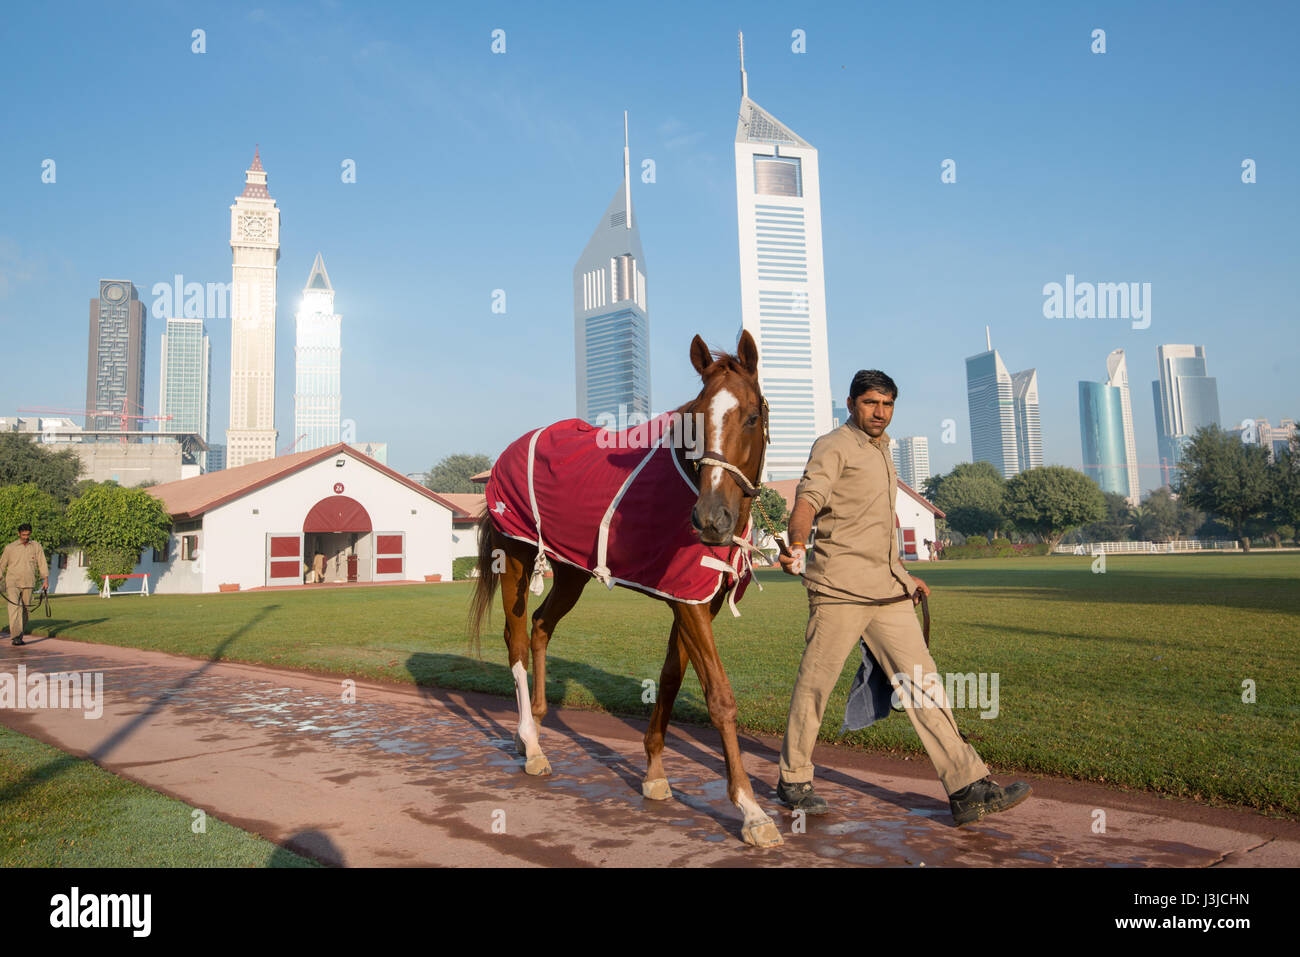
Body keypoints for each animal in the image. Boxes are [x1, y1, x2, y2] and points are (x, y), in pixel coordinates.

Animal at [467, 332, 780, 847]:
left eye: (752, 416)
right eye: (695, 421)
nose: (709, 520)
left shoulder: (695, 602)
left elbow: (672, 678)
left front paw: (653, 772)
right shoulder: (689, 603)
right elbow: (719, 697)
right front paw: (751, 809)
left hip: (570, 571)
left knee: (540, 625)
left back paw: (534, 722)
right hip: (514, 559)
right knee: (515, 639)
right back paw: (531, 745)